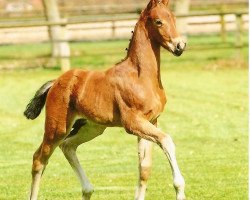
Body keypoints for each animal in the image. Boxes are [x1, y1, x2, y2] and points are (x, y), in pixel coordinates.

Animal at [24, 0, 187, 200]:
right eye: (158, 22)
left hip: (91, 127)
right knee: (39, 159)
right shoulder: (133, 123)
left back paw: (88, 189)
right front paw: (179, 188)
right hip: (57, 128)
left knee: (68, 146)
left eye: (173, 18)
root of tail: (55, 82)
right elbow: (167, 141)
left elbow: (144, 168)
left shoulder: (151, 121)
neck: (140, 76)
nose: (180, 46)